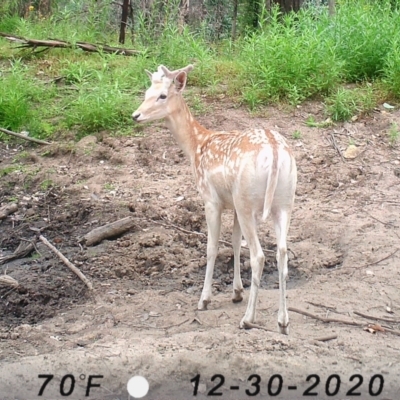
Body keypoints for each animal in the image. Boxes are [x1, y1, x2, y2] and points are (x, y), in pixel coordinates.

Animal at [132, 65, 296, 334]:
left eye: (162, 95)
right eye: (146, 92)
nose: (135, 115)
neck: (196, 146)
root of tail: (274, 151)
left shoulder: (210, 199)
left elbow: (212, 247)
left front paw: (204, 299)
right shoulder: (233, 205)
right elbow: (235, 243)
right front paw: (236, 292)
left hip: (248, 201)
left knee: (259, 256)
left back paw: (248, 319)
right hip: (282, 201)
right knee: (281, 253)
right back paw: (282, 322)